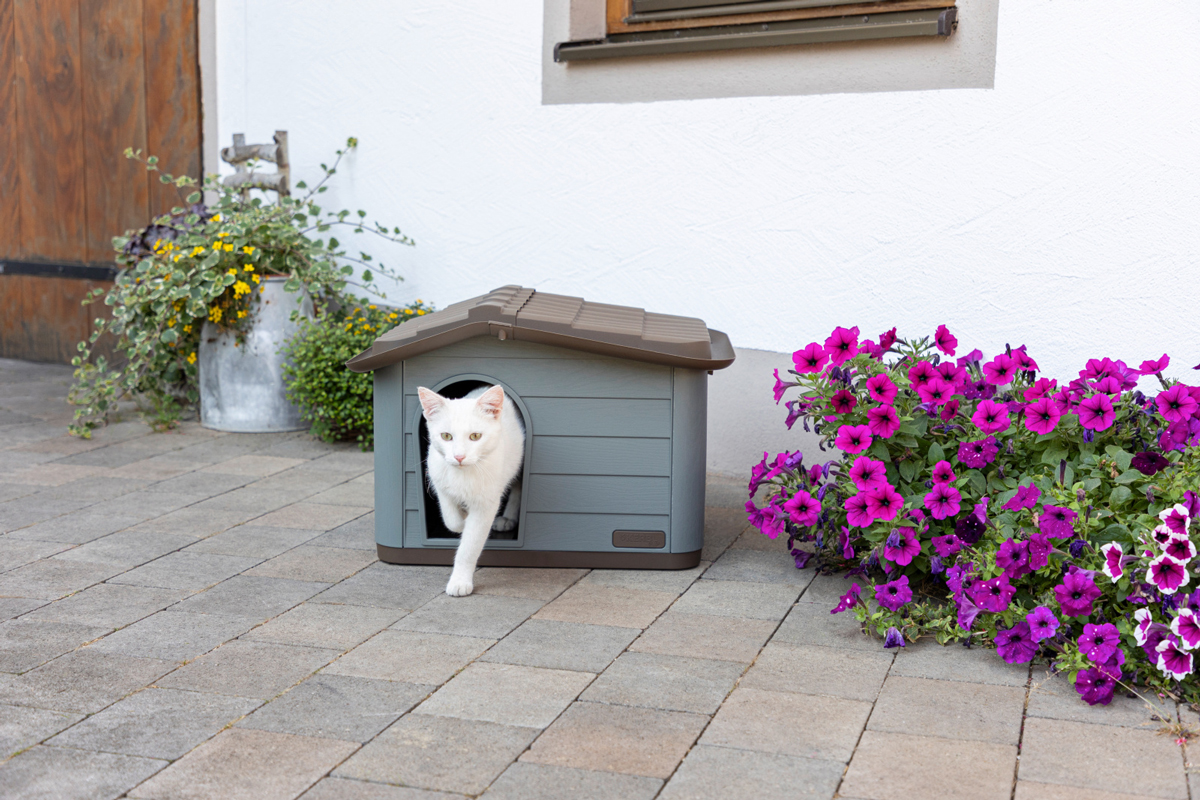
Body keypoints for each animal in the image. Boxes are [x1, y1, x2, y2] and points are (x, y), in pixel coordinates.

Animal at [415, 383, 523, 597]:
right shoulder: (438, 481)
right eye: (446, 436)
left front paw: (459, 581)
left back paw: (508, 518)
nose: (459, 456)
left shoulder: (486, 505)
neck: (463, 473)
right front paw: (461, 520)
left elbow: (470, 545)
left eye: (475, 436)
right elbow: (451, 519)